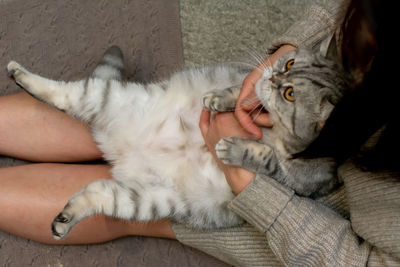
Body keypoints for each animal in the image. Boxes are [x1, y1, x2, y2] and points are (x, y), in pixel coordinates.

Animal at [6, 40, 350, 241]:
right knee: (61, 92)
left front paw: (234, 147)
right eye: (289, 63)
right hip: (105, 99)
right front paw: (220, 98)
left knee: (95, 192)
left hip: (145, 200)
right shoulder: (247, 89)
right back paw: (19, 73)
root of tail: (118, 148)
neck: (275, 129)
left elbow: (267, 158)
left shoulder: (301, 181)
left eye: (290, 93)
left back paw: (64, 220)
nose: (273, 75)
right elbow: (241, 91)